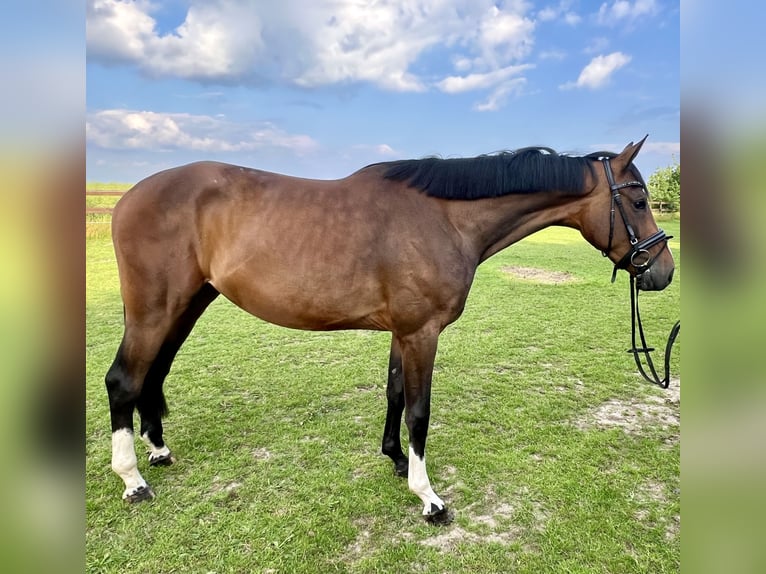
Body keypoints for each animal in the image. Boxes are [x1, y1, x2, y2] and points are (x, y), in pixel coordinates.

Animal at [105, 136, 676, 528]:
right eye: (640, 201)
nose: (663, 272)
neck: (444, 219)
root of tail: (129, 197)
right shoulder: (423, 332)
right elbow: (420, 410)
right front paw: (429, 498)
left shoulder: (403, 333)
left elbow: (395, 395)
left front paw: (397, 460)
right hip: (155, 310)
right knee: (123, 380)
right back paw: (133, 481)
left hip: (188, 305)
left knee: (154, 374)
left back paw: (158, 451)